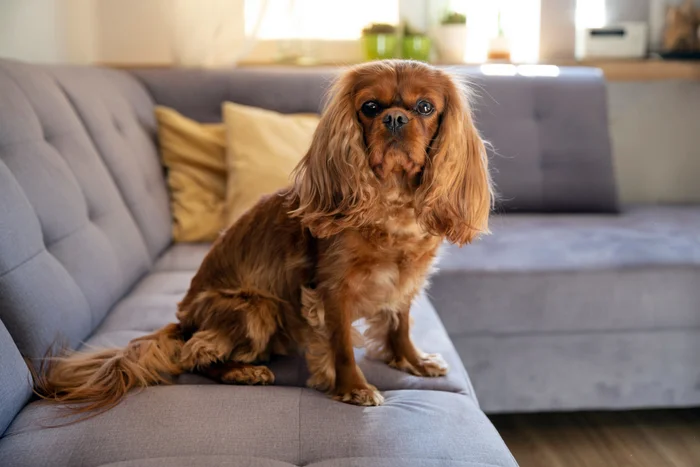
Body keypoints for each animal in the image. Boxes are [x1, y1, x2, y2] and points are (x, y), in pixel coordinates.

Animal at [34, 59, 492, 414]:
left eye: (426, 107)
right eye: (370, 107)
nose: (395, 118)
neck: (391, 201)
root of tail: (184, 320)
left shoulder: (404, 281)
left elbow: (401, 326)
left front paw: (412, 361)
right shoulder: (333, 289)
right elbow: (342, 344)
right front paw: (354, 388)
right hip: (256, 307)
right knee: (195, 353)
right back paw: (243, 370)